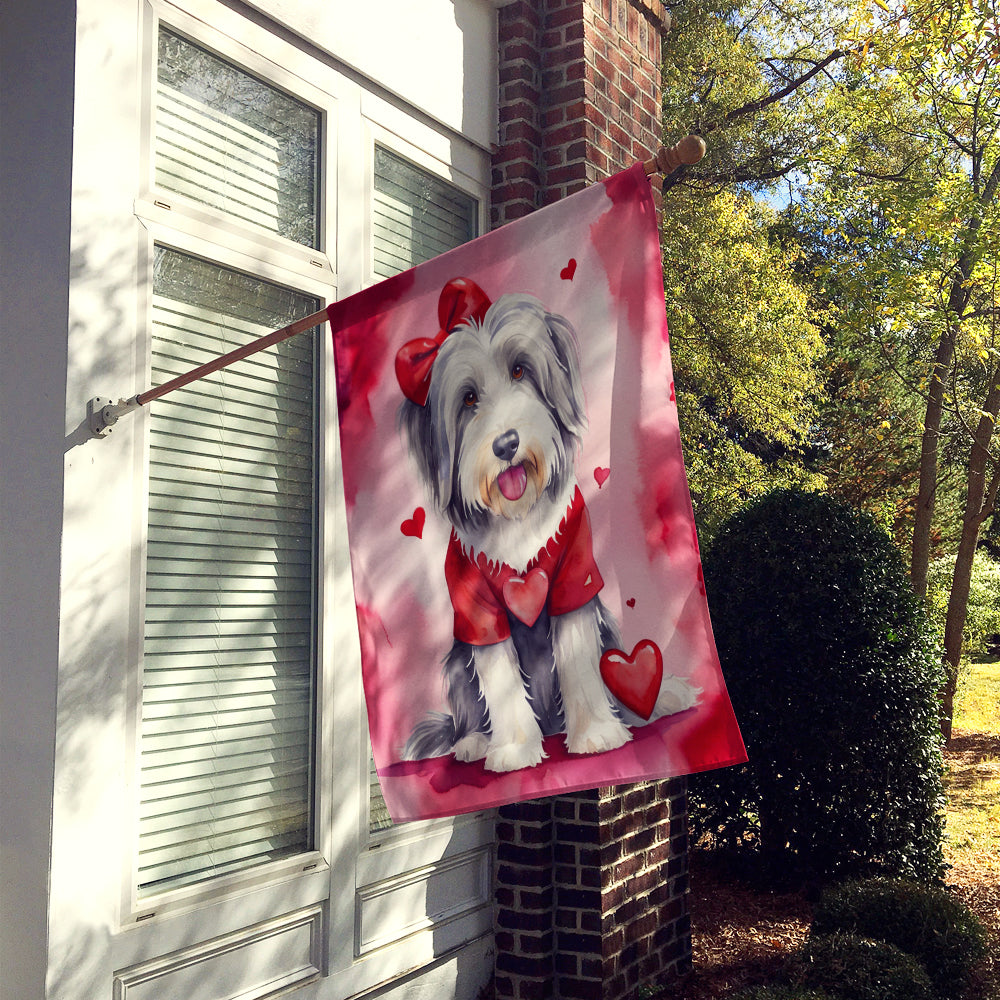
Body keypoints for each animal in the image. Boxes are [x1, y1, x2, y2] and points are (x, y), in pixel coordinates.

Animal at [398, 290, 696, 772]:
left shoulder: (576, 578)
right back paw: (474, 741)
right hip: (457, 661)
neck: (517, 517)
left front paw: (595, 734)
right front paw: (515, 751)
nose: (506, 444)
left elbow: (577, 657)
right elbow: (498, 675)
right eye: (468, 398)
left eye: (520, 370)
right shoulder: (477, 612)